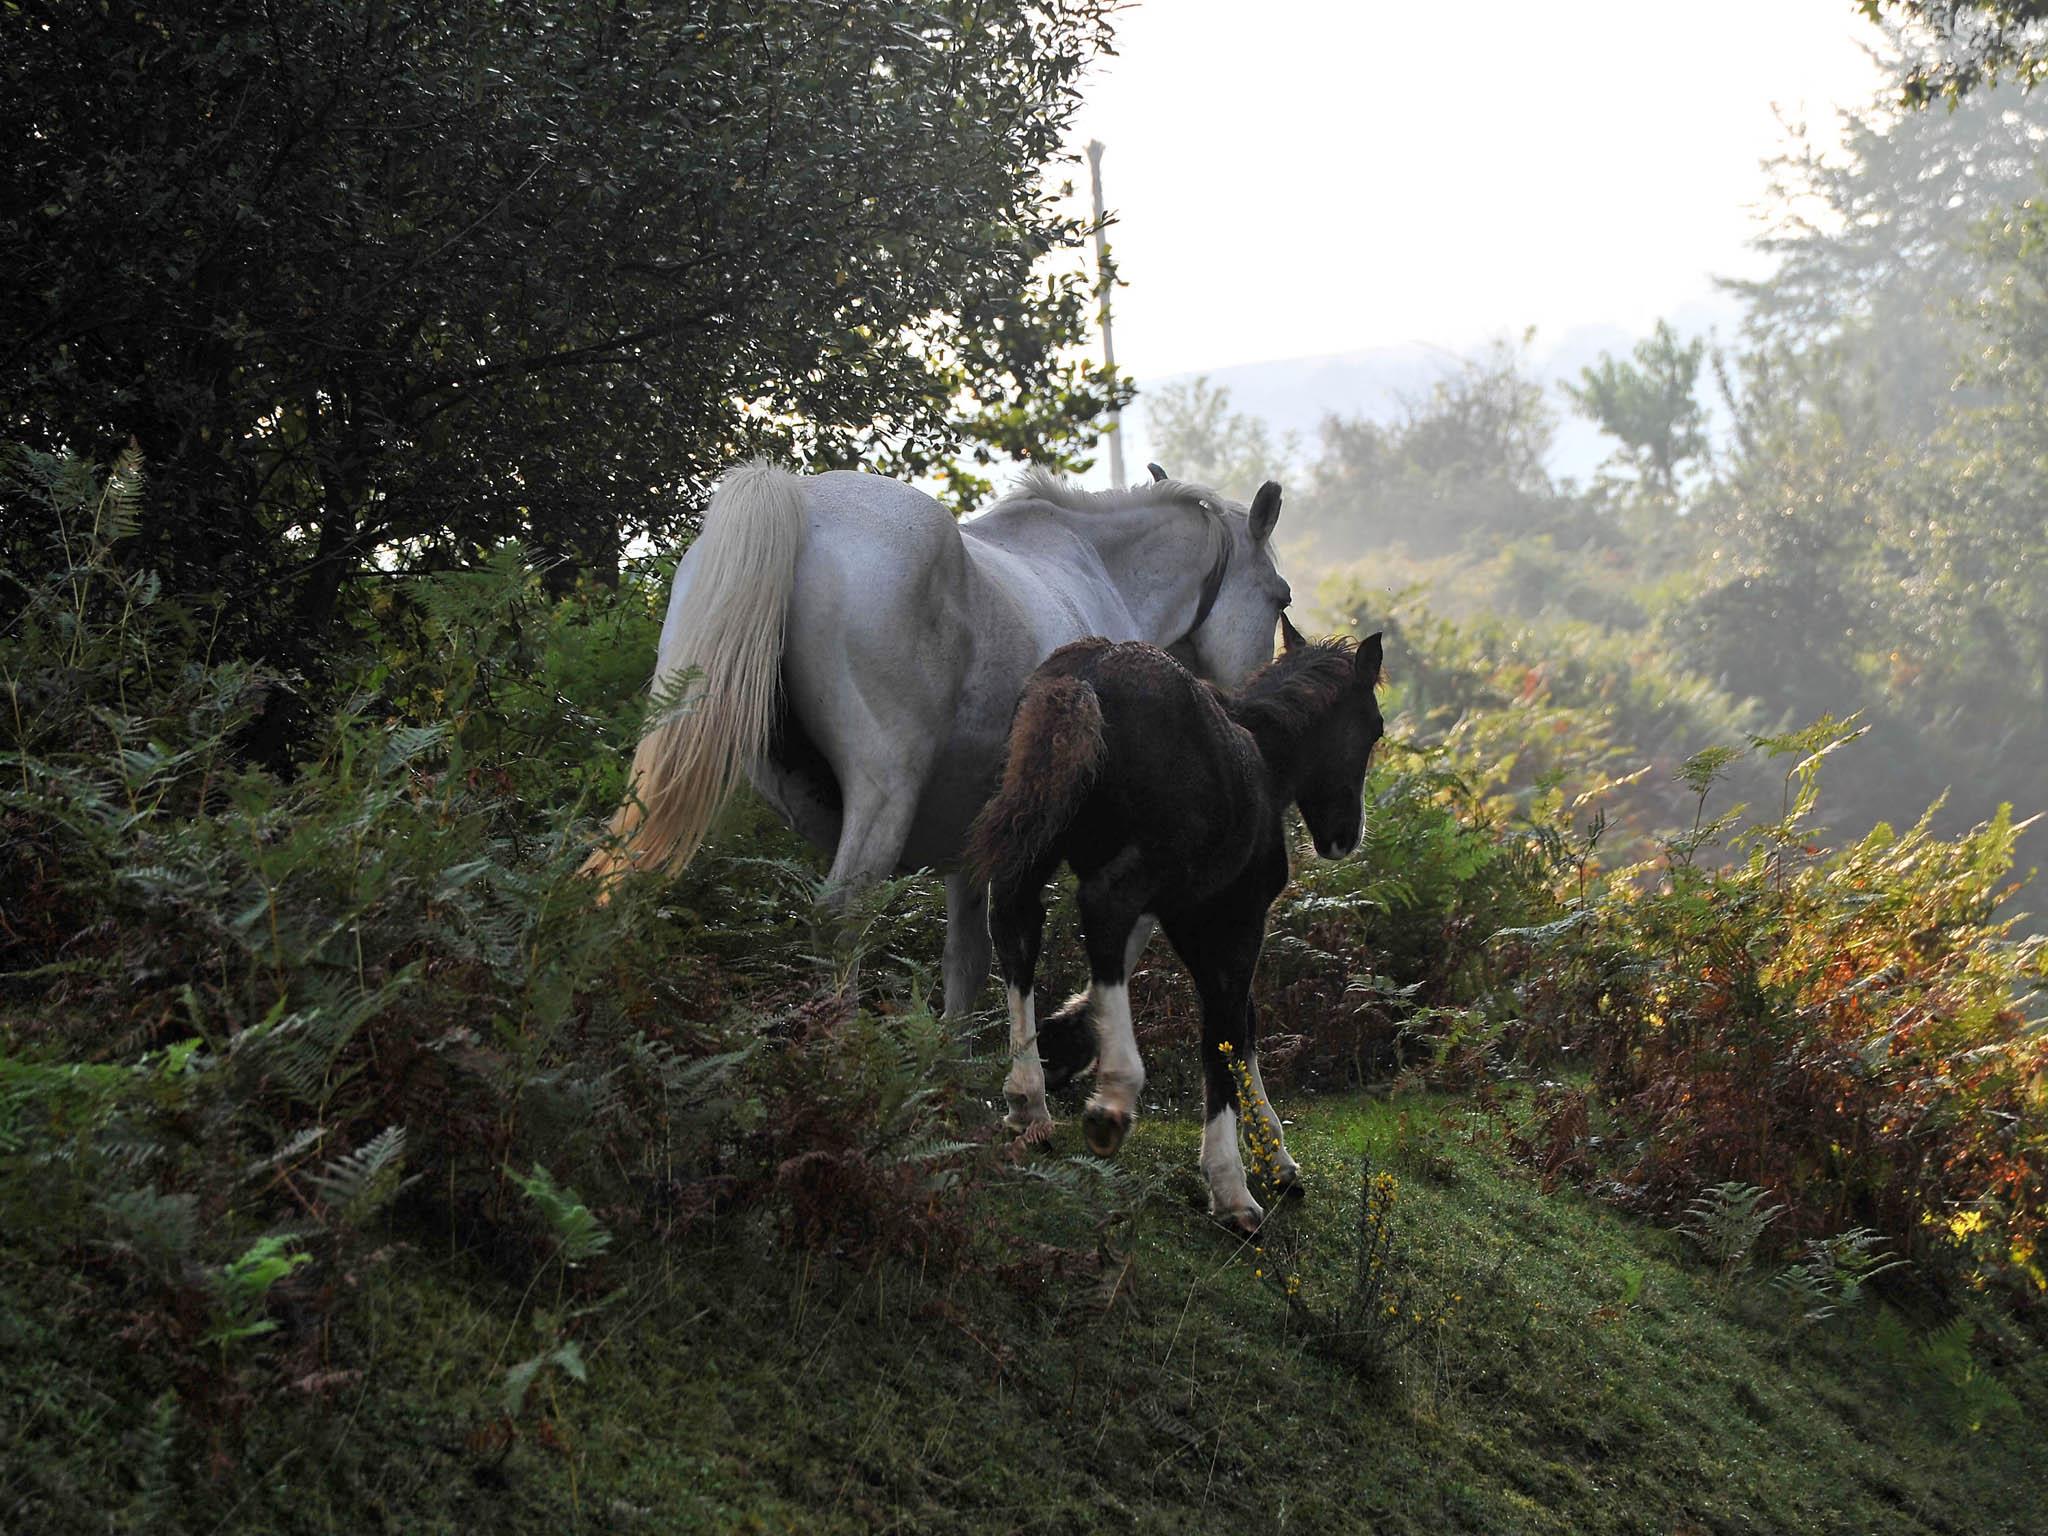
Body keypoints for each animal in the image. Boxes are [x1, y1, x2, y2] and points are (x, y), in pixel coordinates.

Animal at [585, 456, 1286, 1015]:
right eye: (1279, 596)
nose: (1247, 709)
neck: (1100, 570)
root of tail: (802, 502)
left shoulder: (971, 842)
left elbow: (968, 960)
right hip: (882, 797)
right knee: (839, 920)